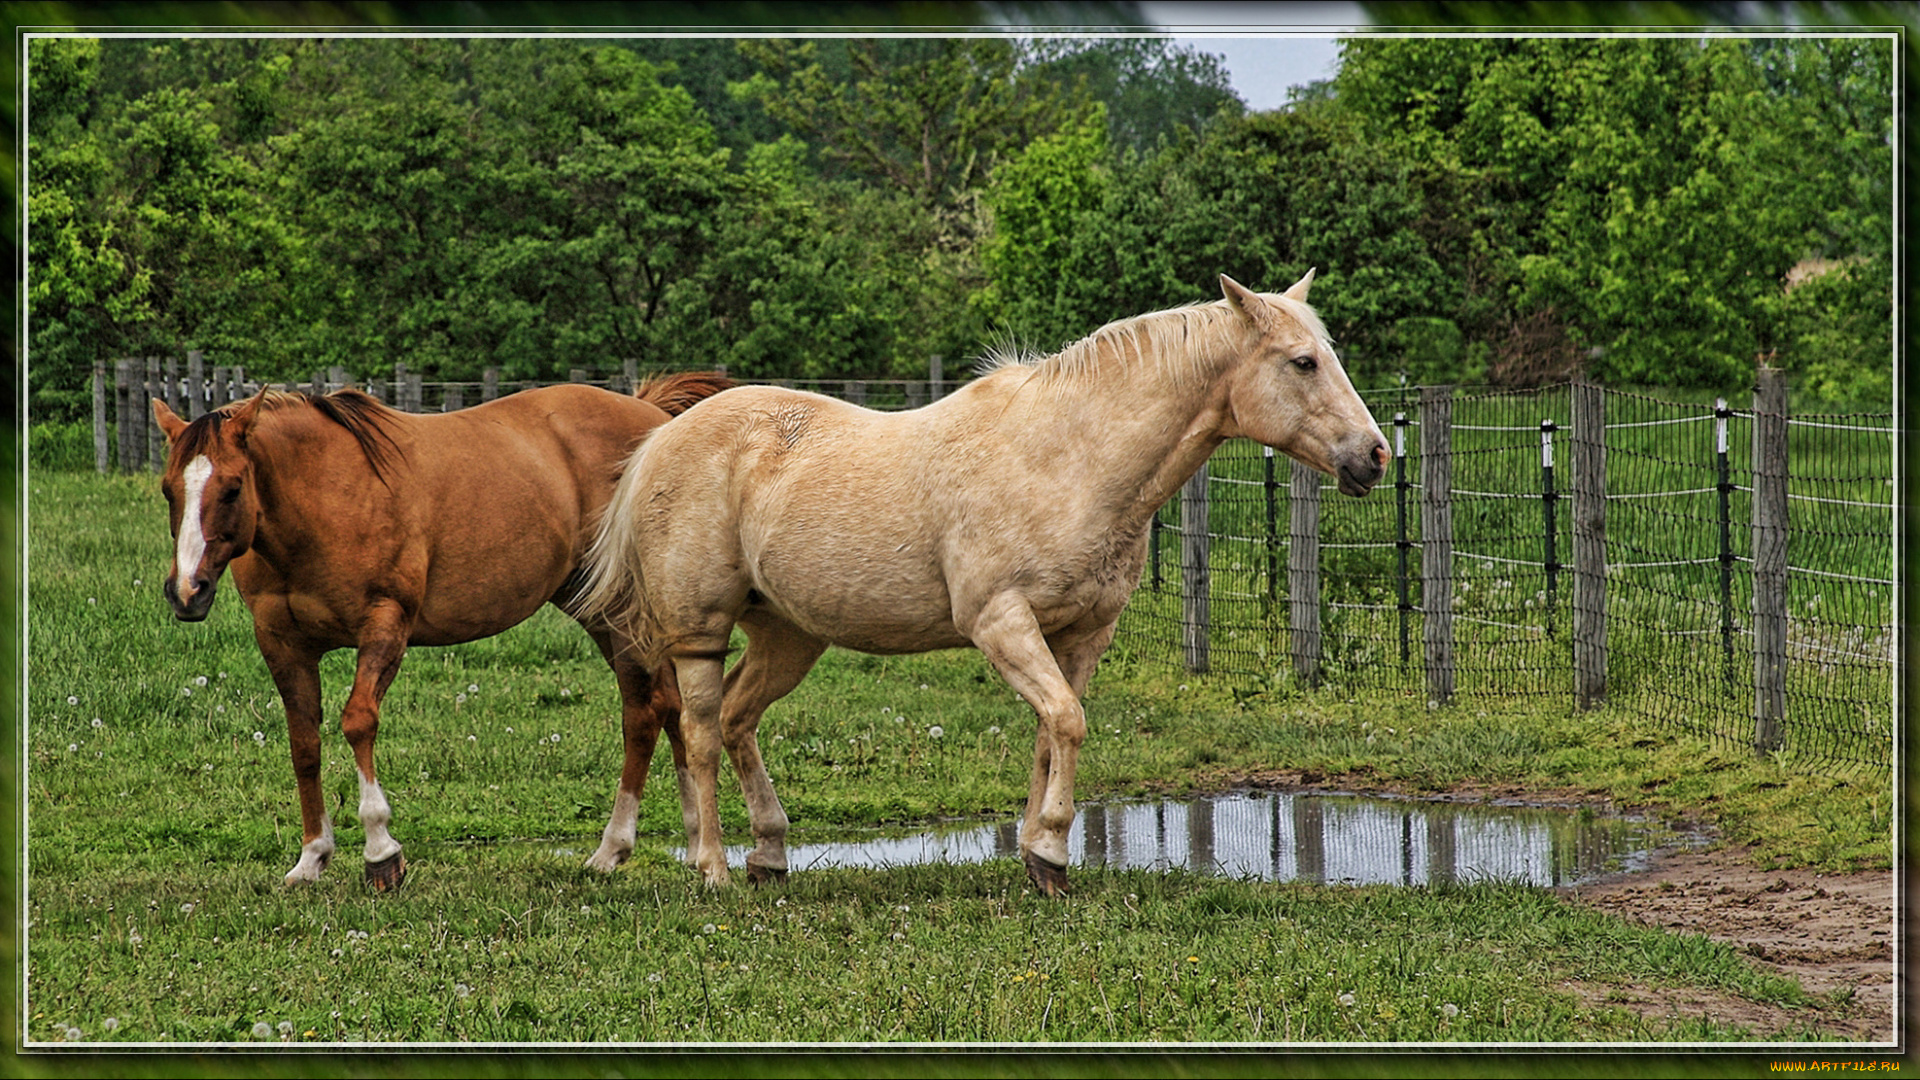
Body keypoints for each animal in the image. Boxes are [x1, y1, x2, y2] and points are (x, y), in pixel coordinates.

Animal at [149, 374, 729, 887]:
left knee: (643, 712)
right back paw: (680, 841)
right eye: (168, 490)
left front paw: (381, 852)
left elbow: (358, 722)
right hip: (600, 607)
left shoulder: (385, 623)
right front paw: (313, 857)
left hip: (623, 610)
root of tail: (654, 416)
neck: (322, 501)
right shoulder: (283, 642)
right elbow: (303, 742)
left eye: (232, 488)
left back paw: (618, 847)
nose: (187, 590)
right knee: (663, 706)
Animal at [576, 272, 1390, 895]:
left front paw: (1038, 857)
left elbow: (1050, 732)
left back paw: (770, 855)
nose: (1376, 455)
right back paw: (712, 868)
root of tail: (659, 439)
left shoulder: (1081, 634)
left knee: (740, 720)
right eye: (1302, 362)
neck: (1069, 459)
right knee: (701, 733)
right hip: (700, 634)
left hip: (789, 636)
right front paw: (1053, 849)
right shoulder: (1000, 621)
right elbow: (1067, 722)